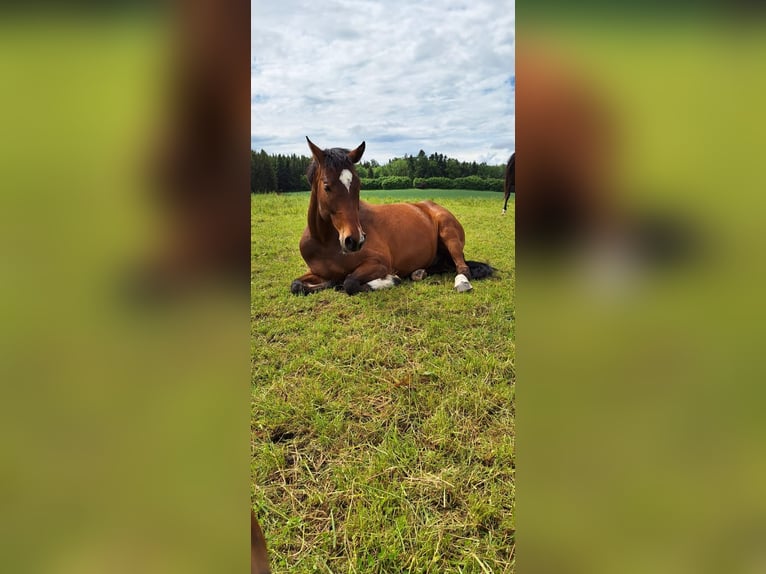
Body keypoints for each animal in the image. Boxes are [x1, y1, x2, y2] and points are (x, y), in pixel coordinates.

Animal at [292, 137, 496, 294]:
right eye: (326, 186)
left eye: (358, 185)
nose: (355, 240)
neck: (324, 241)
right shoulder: (315, 272)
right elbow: (296, 285)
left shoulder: (379, 264)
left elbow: (349, 282)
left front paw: (392, 280)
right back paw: (418, 273)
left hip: (449, 234)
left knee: (462, 267)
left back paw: (461, 282)